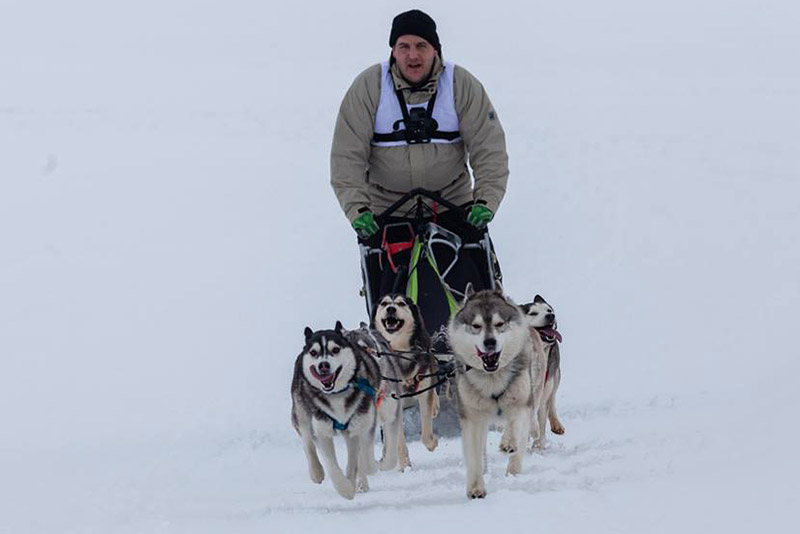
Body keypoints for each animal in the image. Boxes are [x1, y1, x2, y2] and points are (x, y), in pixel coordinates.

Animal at [290, 321, 381, 499]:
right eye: (314, 352)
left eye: (335, 349)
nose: (323, 365)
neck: (336, 395)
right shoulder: (323, 432)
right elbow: (332, 466)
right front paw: (345, 489)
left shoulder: (355, 431)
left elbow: (354, 463)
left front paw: (352, 483)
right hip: (301, 413)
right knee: (308, 443)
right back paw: (316, 472)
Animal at [372, 293, 440, 469]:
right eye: (384, 303)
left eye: (401, 303)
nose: (391, 308)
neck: (399, 351)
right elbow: (399, 442)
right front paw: (404, 465)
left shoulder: (425, 388)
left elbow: (426, 432)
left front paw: (432, 443)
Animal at [448, 284, 541, 499]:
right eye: (476, 326)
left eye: (500, 324)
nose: (489, 342)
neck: (493, 379)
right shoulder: (472, 418)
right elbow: (474, 455)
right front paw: (476, 488)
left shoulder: (521, 402)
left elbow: (515, 425)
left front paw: (510, 444)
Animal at [520, 295, 565, 447]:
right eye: (533, 313)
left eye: (549, 310)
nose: (551, 316)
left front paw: (538, 446)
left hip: (555, 377)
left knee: (551, 400)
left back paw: (555, 424)